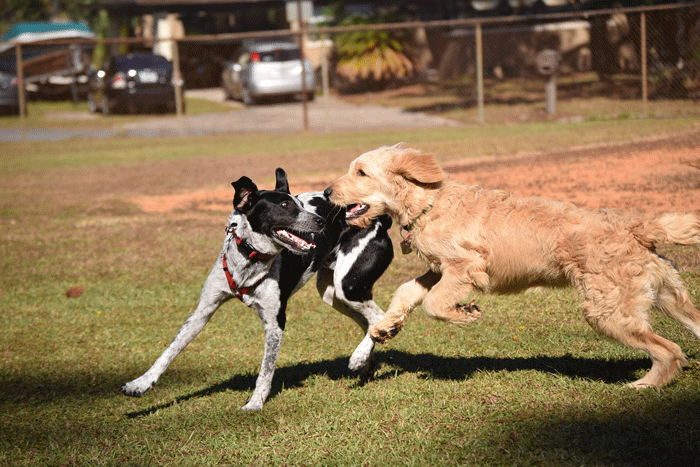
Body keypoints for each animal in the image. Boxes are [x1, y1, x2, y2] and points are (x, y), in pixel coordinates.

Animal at [121, 170, 394, 412]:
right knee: (368, 322)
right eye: (285, 204)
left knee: (379, 318)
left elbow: (265, 371)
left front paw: (254, 404)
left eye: (300, 203)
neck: (251, 259)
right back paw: (365, 364)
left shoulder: (275, 322)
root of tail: (382, 220)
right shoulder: (202, 312)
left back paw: (358, 358)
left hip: (349, 286)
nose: (323, 221)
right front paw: (140, 384)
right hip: (332, 294)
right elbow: (169, 351)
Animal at [324, 144, 700, 390]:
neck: (430, 203)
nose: (327, 192)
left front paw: (465, 314)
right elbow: (406, 291)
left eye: (361, 172)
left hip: (608, 313)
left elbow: (433, 304)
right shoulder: (437, 270)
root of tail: (638, 229)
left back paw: (644, 385)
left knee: (669, 352)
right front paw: (386, 327)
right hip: (670, 298)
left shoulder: (466, 267)